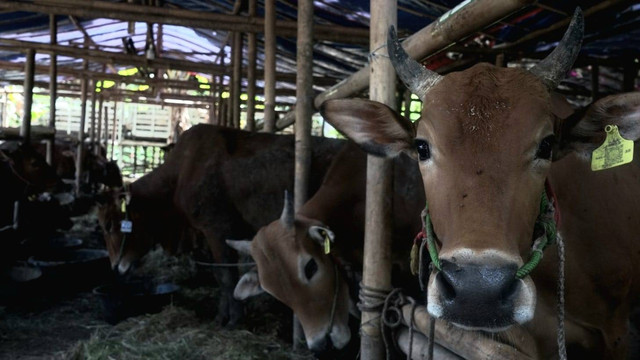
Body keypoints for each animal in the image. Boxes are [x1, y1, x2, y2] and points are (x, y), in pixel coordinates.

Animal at [97, 125, 344, 324]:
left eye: (109, 224)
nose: (114, 267)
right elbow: (219, 276)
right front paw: (221, 316)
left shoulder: (218, 230)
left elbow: (227, 277)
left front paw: (233, 319)